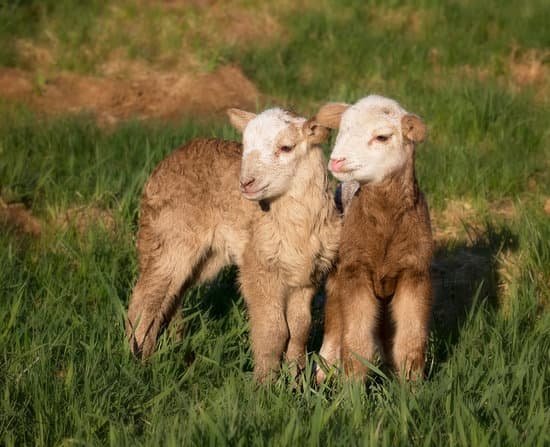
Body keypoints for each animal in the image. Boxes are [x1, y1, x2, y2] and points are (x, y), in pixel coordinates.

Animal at [125, 106, 342, 382]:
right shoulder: (258, 268)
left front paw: (295, 380)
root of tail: (167, 161)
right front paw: (265, 383)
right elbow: (274, 331)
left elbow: (299, 329)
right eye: (245, 145)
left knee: (171, 296)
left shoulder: (305, 277)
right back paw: (137, 357)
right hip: (169, 237)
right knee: (147, 295)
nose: (246, 183)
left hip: (206, 256)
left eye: (286, 147)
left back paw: (169, 347)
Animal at [314, 94, 436, 382]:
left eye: (382, 137)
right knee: (334, 320)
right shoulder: (354, 269)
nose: (336, 160)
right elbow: (356, 340)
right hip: (337, 270)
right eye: (342, 129)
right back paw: (323, 371)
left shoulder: (415, 272)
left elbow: (411, 340)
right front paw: (352, 388)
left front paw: (410, 386)